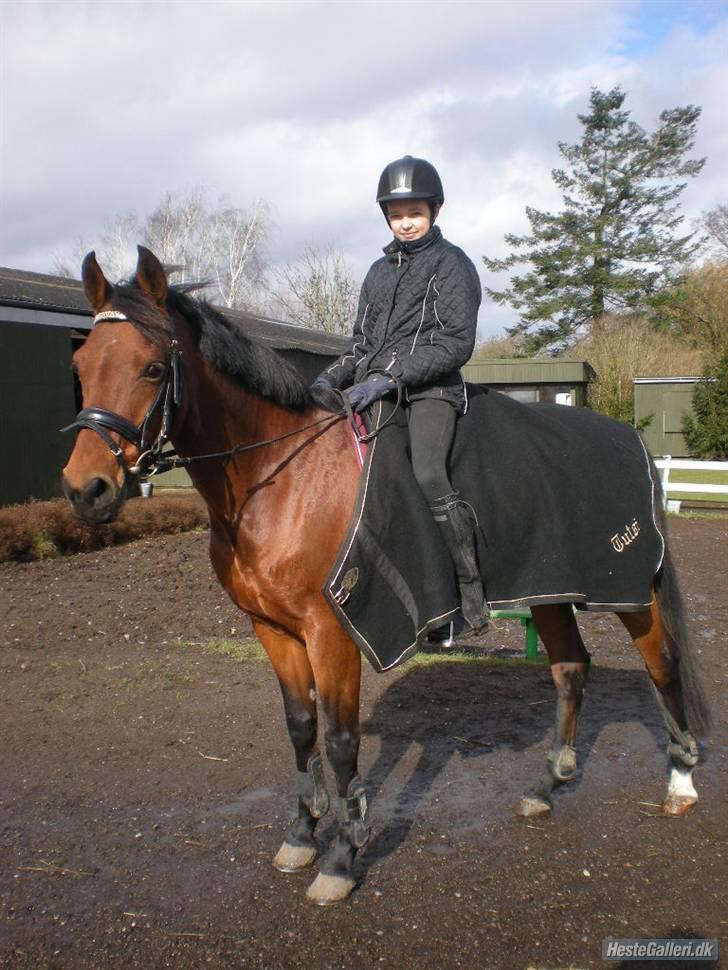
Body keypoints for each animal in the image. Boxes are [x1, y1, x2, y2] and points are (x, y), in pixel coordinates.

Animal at [62, 246, 710, 905]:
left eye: (150, 368)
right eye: (81, 364)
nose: (86, 490)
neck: (279, 476)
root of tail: (630, 439)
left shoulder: (333, 630)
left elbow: (341, 741)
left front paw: (343, 858)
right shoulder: (272, 629)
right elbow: (301, 730)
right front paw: (302, 834)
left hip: (629, 593)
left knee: (663, 665)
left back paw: (681, 780)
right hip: (550, 590)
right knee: (571, 670)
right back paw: (547, 786)